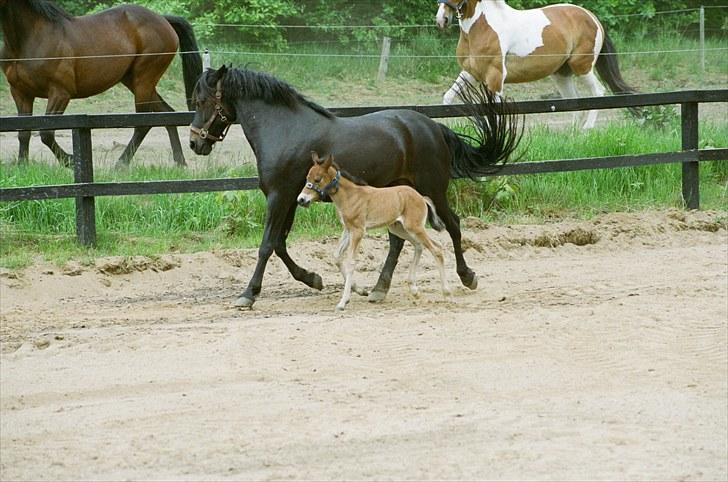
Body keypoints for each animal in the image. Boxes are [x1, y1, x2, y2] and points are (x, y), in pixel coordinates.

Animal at [0, 0, 202, 168]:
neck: (31, 38)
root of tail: (164, 20)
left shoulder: (60, 93)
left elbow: (46, 134)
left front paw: (71, 161)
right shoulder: (20, 93)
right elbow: (23, 132)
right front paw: (22, 165)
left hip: (143, 80)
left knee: (143, 124)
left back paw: (121, 164)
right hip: (135, 81)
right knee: (167, 114)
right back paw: (180, 162)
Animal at [298, 151, 451, 310]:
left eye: (317, 179)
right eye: (307, 178)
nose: (301, 199)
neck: (350, 196)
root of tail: (421, 197)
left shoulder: (358, 231)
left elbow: (351, 262)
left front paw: (343, 302)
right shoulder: (348, 229)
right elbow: (336, 256)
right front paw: (359, 291)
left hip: (414, 227)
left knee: (436, 249)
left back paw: (446, 293)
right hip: (399, 228)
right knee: (421, 246)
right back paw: (415, 290)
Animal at [435, 0, 636, 128]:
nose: (441, 20)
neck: (482, 26)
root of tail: (592, 17)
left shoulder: (495, 76)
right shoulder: (471, 73)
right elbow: (447, 99)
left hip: (582, 67)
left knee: (598, 92)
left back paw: (587, 130)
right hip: (561, 75)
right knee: (575, 102)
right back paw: (572, 136)